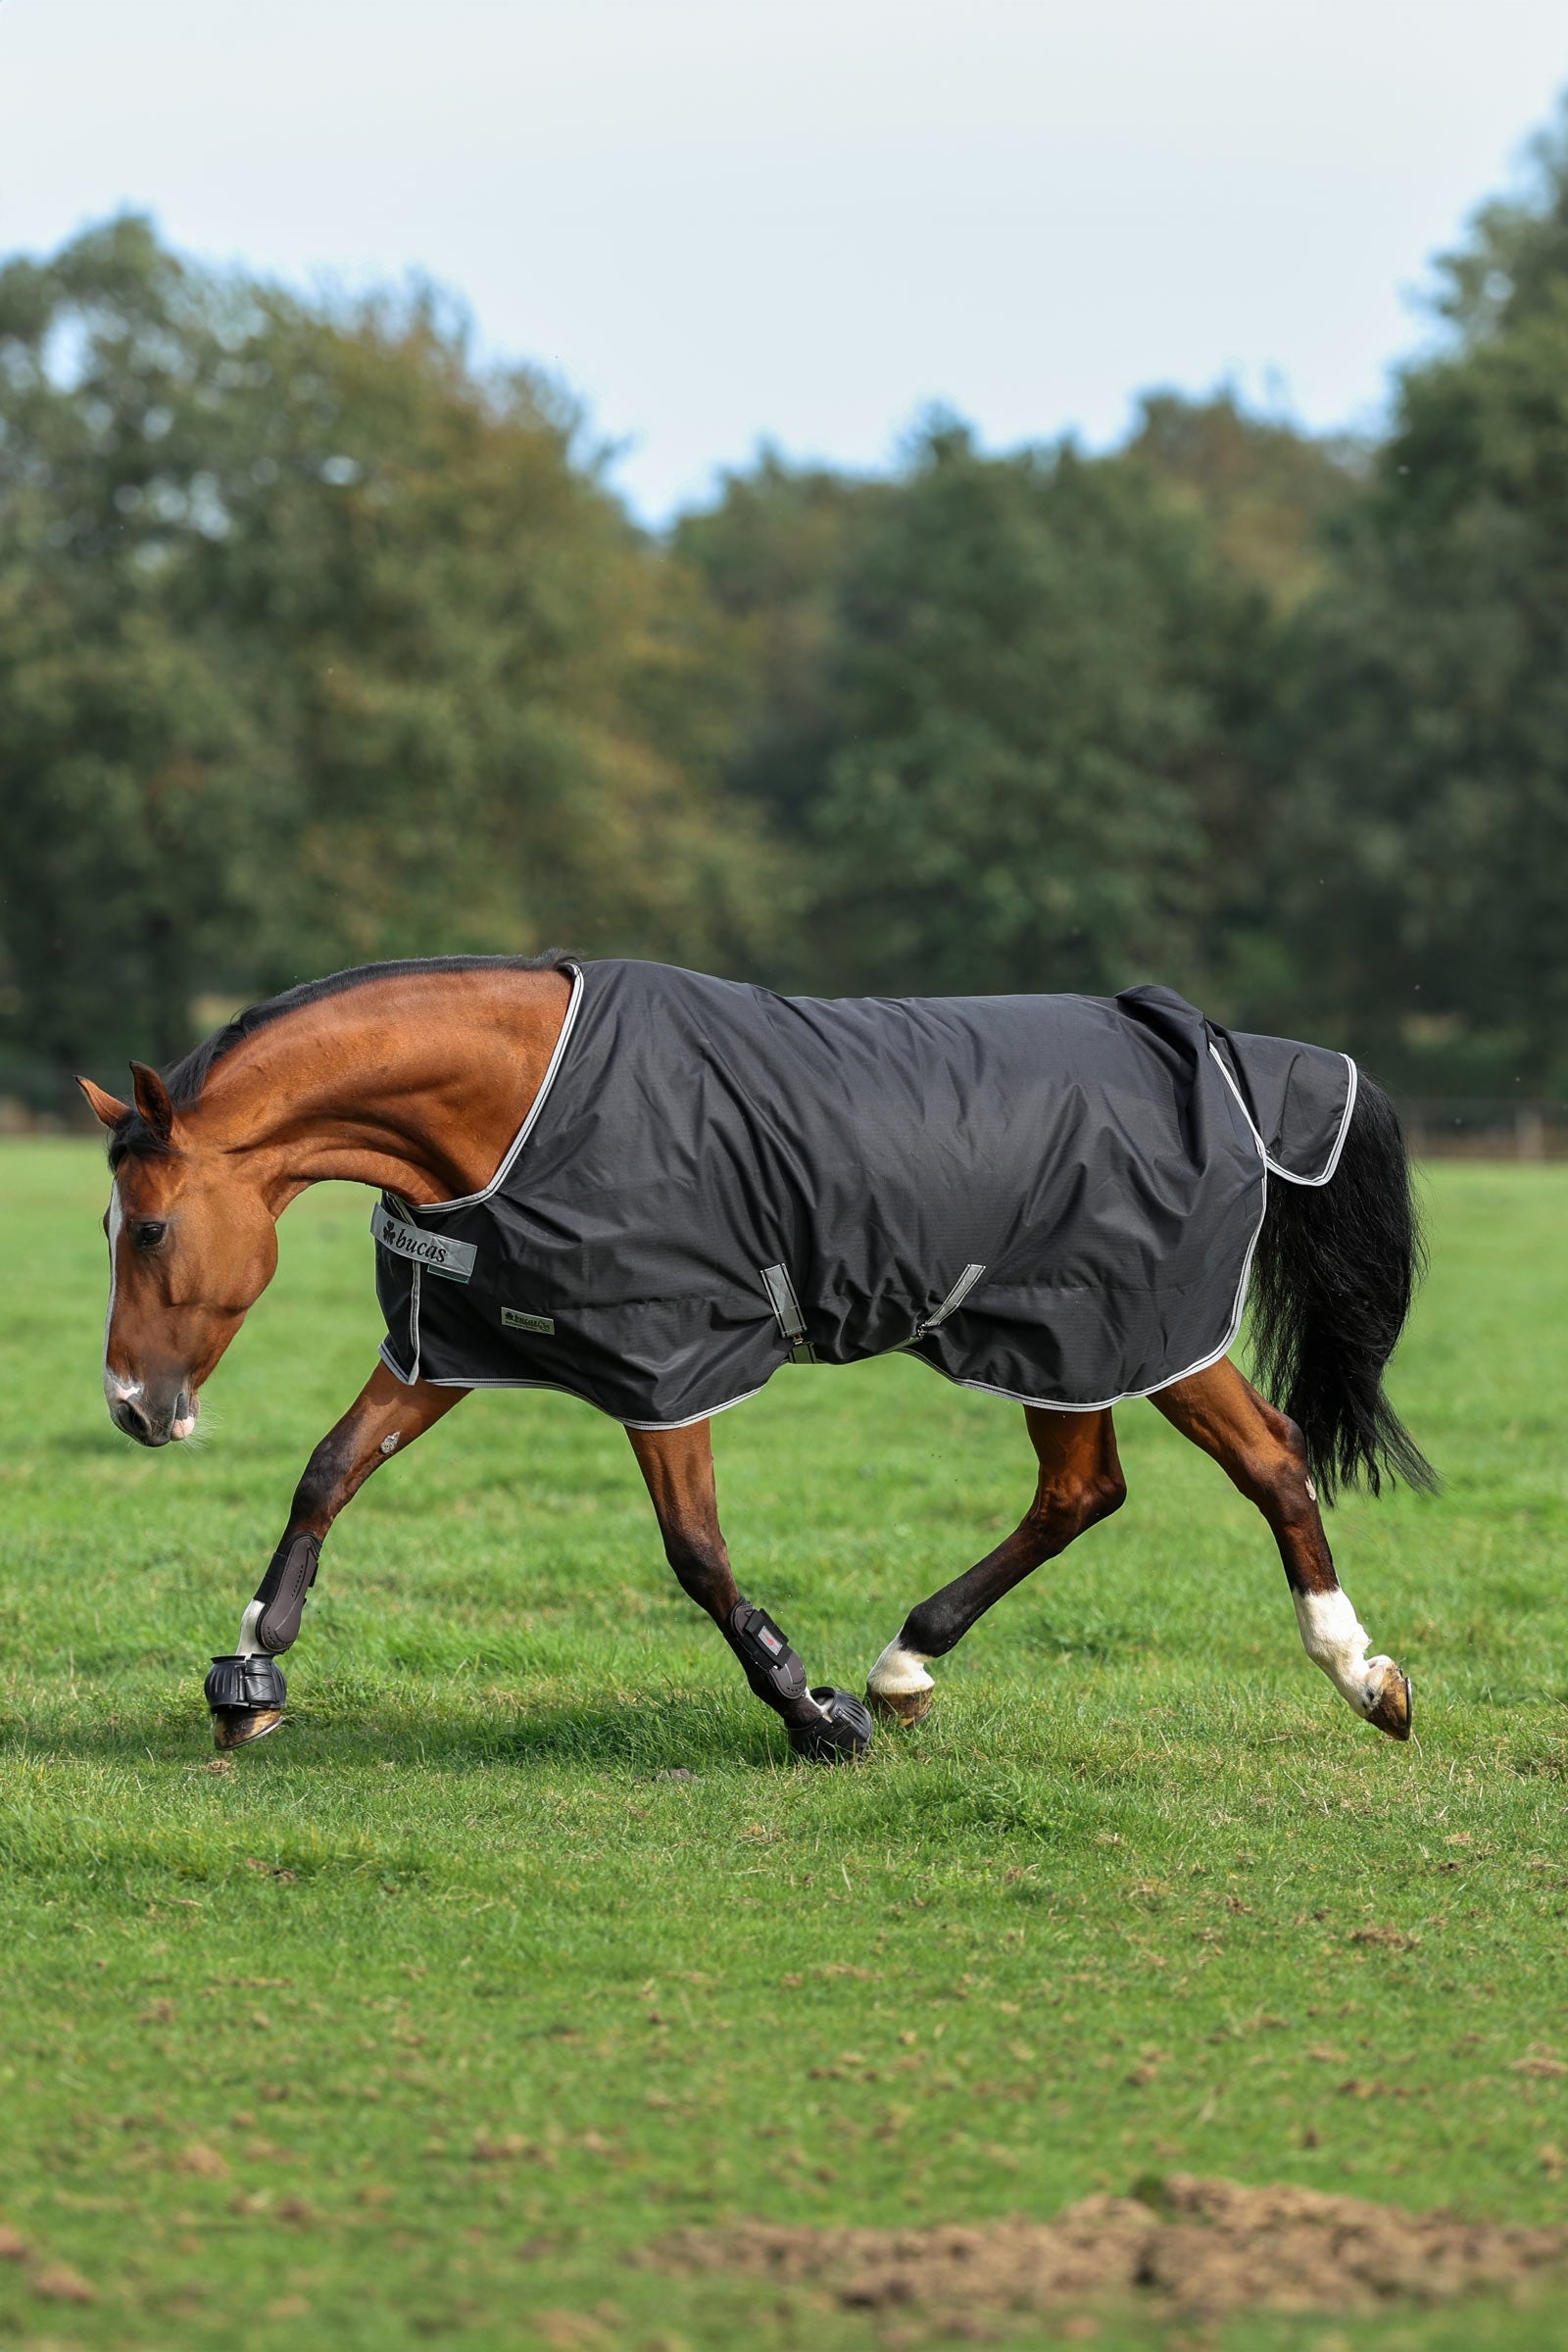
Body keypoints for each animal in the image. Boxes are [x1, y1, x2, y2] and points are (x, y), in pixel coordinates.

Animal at [79, 953, 1434, 1760]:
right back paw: (906, 1664)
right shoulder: (453, 1345)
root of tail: (1212, 1043)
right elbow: (328, 1473)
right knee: (1080, 1490)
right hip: (1053, 1345)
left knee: (1267, 1459)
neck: (524, 1099)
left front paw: (809, 1712)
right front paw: (251, 1672)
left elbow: (696, 1553)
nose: (135, 1407)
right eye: (109, 1226)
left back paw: (1361, 1675)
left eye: (147, 1228)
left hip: (1128, 1331)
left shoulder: (664, 1361)